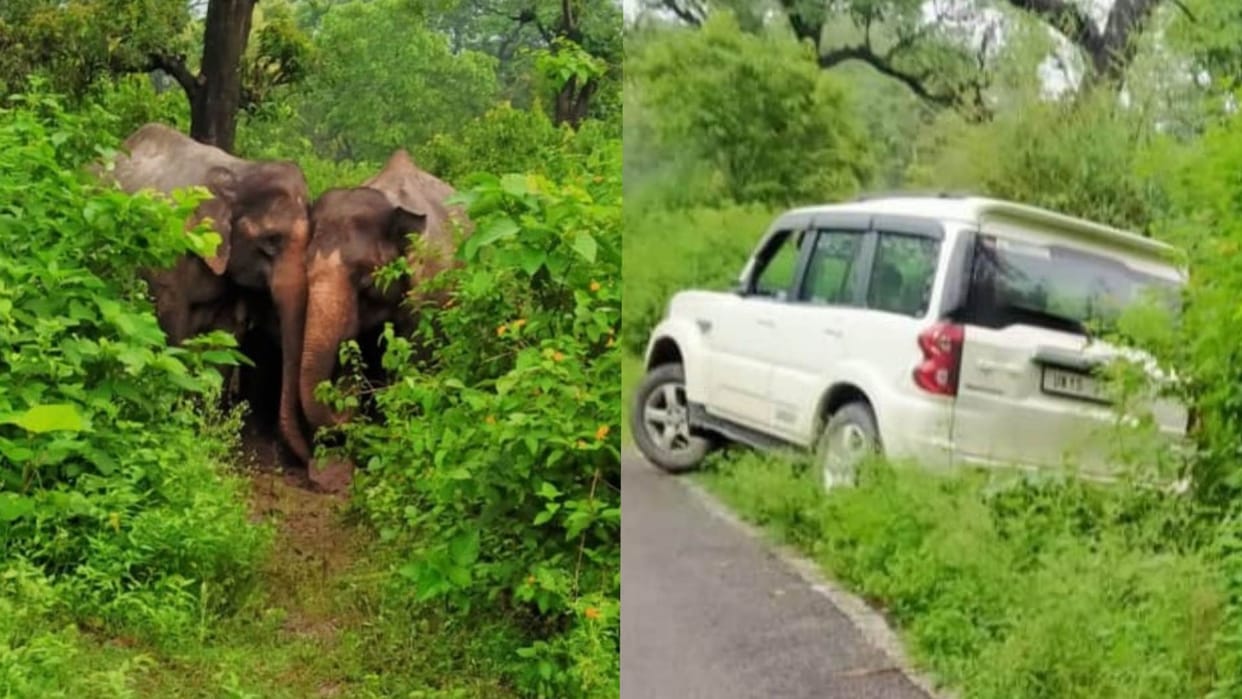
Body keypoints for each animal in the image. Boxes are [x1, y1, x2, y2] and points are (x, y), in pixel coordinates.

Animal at [106, 123, 313, 464]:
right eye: (271, 242)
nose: (308, 459)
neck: (240, 173)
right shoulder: (170, 251)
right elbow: (172, 325)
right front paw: (179, 421)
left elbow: (226, 336)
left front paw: (204, 429)